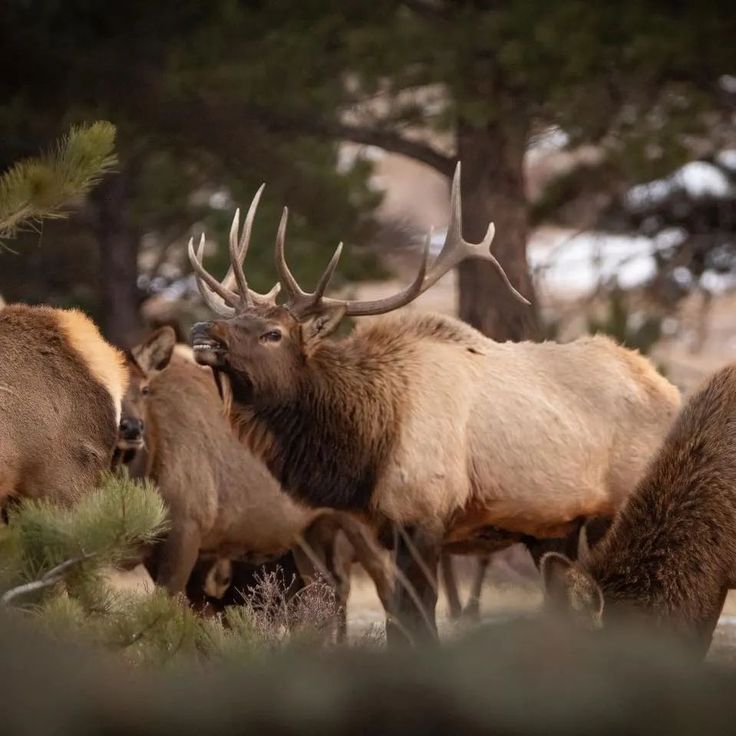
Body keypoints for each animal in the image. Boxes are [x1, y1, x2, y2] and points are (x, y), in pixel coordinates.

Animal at [188, 162, 680, 644]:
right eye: (235, 317)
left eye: (273, 333)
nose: (202, 332)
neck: (365, 444)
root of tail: (670, 391)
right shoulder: (387, 529)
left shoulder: (423, 516)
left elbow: (416, 622)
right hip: (553, 528)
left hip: (614, 508)